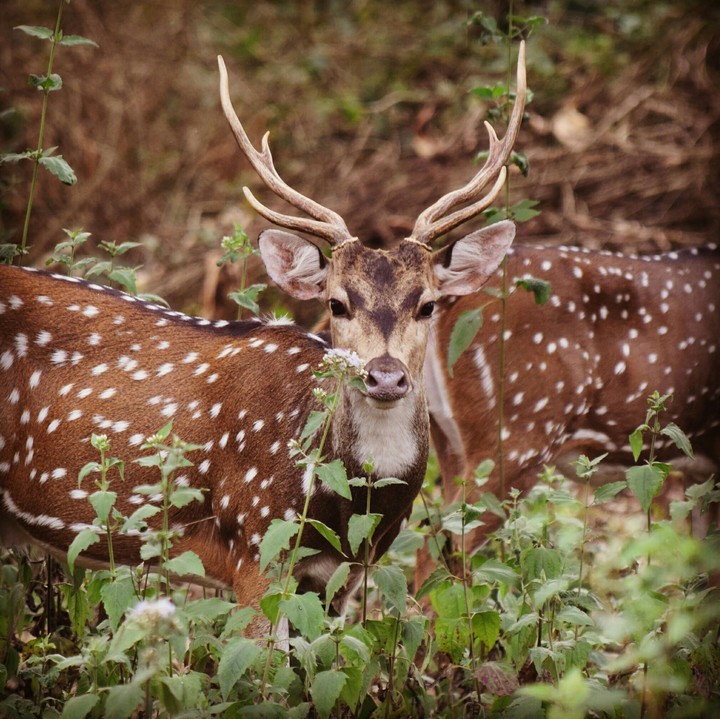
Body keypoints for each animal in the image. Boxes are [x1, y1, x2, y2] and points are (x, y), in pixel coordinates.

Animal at [0, 46, 526, 635]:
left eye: (429, 304)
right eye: (336, 303)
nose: (385, 376)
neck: (344, 505)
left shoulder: (341, 576)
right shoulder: (256, 544)